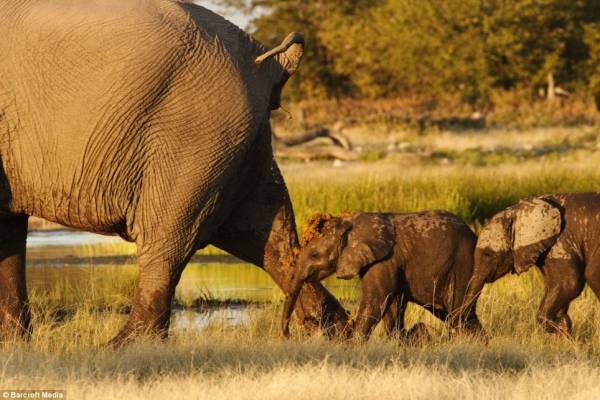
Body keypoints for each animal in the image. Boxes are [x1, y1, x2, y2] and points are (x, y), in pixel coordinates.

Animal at [0, 0, 346, 344]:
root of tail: (263, 60)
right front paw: (14, 344)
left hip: (195, 133)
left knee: (169, 238)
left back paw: (124, 346)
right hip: (237, 139)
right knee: (264, 237)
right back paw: (337, 330)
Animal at [282, 209, 482, 340]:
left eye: (314, 255)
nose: (286, 335)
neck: (350, 224)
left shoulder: (384, 260)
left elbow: (377, 300)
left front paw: (352, 346)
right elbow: (392, 305)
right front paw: (400, 341)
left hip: (463, 267)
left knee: (458, 314)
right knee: (458, 316)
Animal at [462, 194, 600, 334]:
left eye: (487, 254)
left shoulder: (562, 239)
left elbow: (570, 283)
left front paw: (560, 326)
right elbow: (554, 285)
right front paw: (563, 325)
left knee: (592, 274)